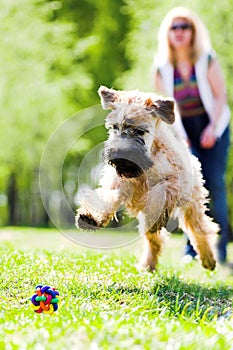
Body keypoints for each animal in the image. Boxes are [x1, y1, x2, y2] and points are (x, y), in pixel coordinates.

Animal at [76, 86, 218, 272]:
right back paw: (147, 265)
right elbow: (105, 199)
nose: (119, 156)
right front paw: (90, 217)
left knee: (200, 229)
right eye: (114, 127)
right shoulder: (117, 186)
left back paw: (208, 259)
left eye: (139, 130)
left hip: (192, 206)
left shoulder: (174, 184)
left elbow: (160, 193)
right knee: (155, 241)